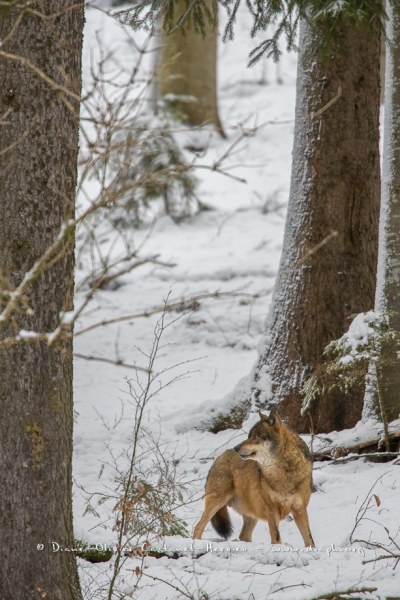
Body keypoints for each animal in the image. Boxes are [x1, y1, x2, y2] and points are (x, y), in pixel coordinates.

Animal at [192, 410, 314, 548]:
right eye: (249, 436)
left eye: (256, 436)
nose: (236, 448)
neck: (284, 472)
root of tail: (218, 457)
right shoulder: (272, 511)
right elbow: (276, 539)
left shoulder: (300, 510)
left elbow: (309, 540)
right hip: (217, 502)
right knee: (197, 528)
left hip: (251, 513)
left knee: (243, 536)